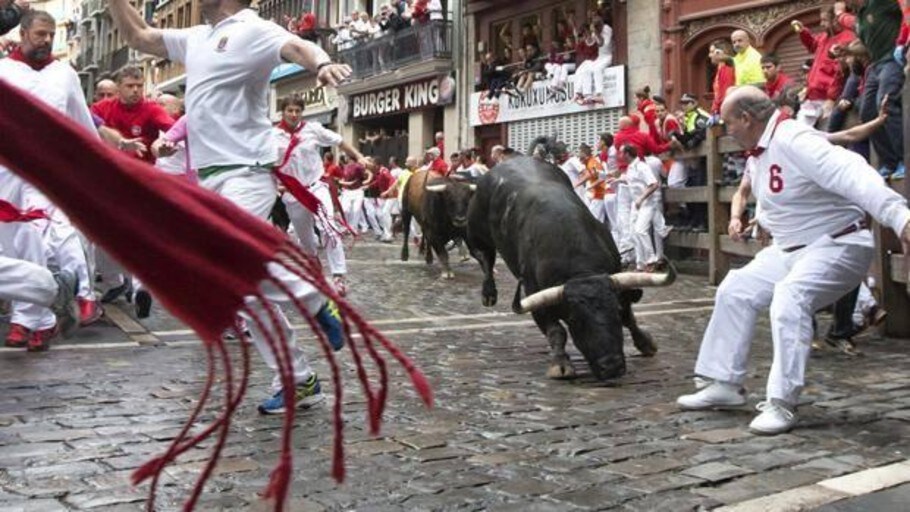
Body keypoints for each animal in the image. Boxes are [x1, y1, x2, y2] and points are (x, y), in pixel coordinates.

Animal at [470, 150, 676, 378]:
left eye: (614, 311)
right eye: (576, 320)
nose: (611, 366)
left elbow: (629, 317)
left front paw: (646, 343)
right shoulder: (534, 298)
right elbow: (557, 332)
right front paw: (560, 364)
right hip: (476, 233)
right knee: (484, 257)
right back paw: (488, 293)